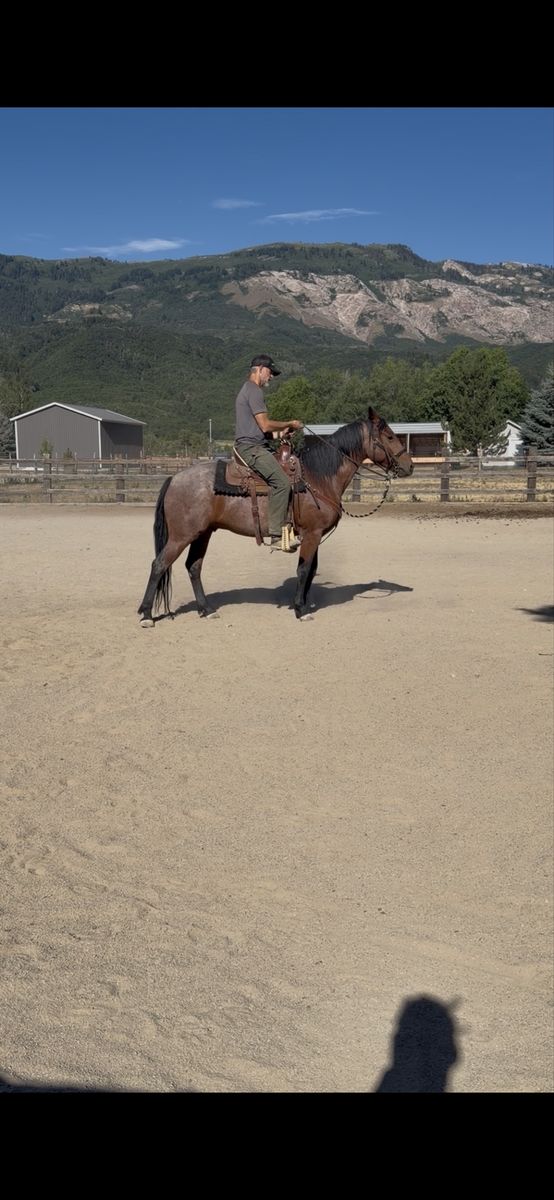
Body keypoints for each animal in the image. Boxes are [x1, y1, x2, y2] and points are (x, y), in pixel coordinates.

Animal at [137, 406, 413, 624]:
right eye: (389, 436)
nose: (409, 466)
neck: (318, 478)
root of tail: (174, 478)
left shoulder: (313, 534)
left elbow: (311, 569)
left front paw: (304, 603)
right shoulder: (312, 534)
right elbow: (303, 569)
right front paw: (301, 609)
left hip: (203, 533)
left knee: (193, 567)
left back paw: (206, 609)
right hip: (181, 536)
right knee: (159, 564)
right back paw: (146, 615)